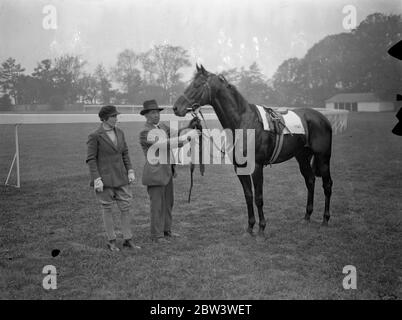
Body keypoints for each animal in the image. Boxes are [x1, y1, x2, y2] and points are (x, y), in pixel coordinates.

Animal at [173, 65, 332, 240]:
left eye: (198, 85)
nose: (176, 108)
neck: (244, 122)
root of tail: (321, 118)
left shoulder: (256, 167)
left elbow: (258, 198)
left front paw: (262, 228)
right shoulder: (239, 167)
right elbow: (248, 196)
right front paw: (250, 227)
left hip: (323, 158)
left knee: (327, 184)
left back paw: (325, 220)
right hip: (302, 157)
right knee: (310, 180)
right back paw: (307, 217)